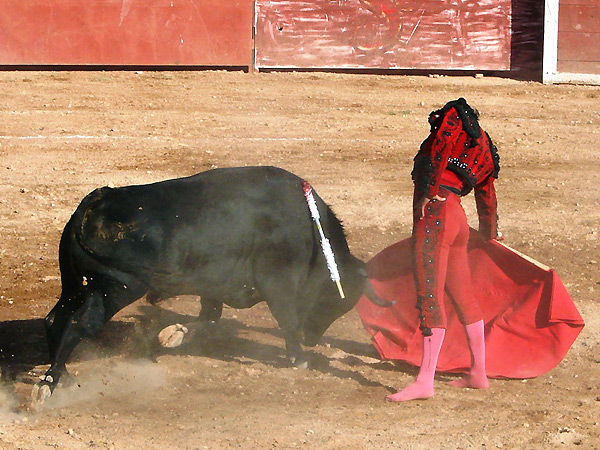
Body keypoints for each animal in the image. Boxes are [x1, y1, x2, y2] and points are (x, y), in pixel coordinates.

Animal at [34, 167, 390, 402]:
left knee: (55, 319)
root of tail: (98, 198)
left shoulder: (215, 284)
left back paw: (63, 377)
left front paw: (173, 335)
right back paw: (47, 385)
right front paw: (299, 357)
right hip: (115, 288)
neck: (310, 231)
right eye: (337, 299)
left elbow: (210, 316)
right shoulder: (279, 284)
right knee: (80, 323)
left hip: (75, 285)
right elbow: (286, 320)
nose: (312, 338)